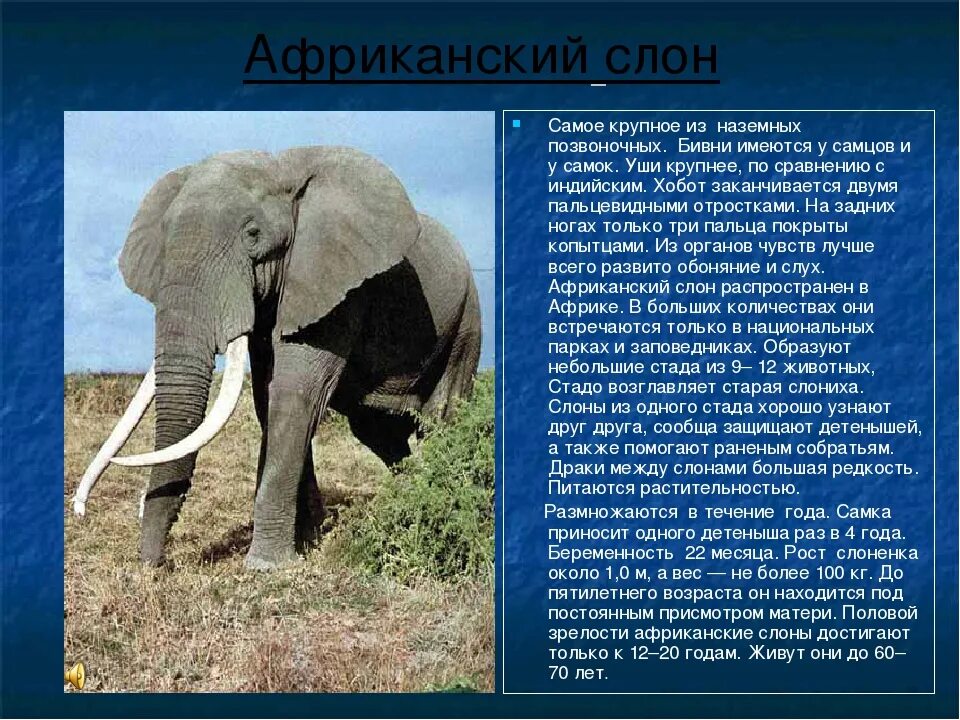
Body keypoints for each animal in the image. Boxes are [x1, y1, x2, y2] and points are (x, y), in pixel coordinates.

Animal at [73, 146, 482, 570]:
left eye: (253, 235)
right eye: (164, 240)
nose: (155, 566)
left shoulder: (334, 284)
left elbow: (294, 395)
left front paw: (266, 566)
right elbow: (266, 398)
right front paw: (310, 538)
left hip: (466, 323)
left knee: (442, 417)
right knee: (376, 431)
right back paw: (405, 495)